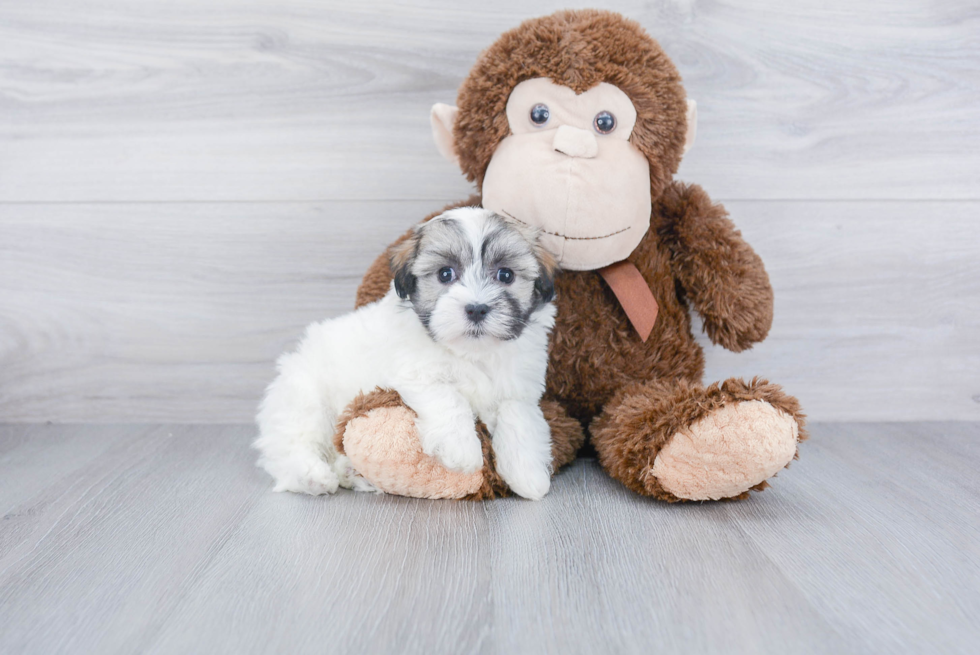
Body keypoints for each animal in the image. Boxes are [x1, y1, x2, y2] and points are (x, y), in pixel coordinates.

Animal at [253, 208, 560, 500]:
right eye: (445, 274)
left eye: (505, 275)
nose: (476, 308)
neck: (471, 352)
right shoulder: (417, 372)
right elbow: (449, 398)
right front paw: (462, 450)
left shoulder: (520, 386)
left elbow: (518, 416)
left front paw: (528, 475)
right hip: (306, 400)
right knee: (291, 446)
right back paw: (312, 477)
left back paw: (354, 474)